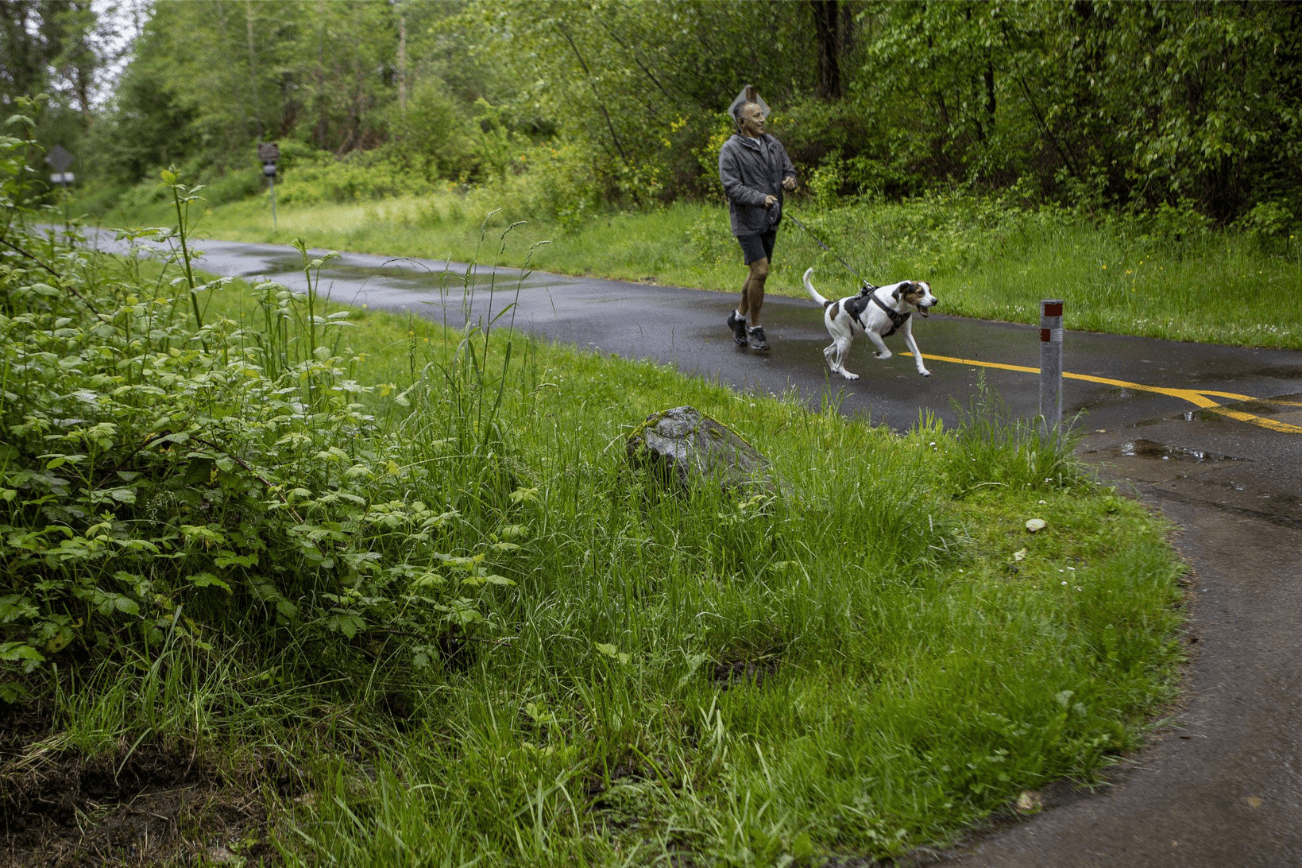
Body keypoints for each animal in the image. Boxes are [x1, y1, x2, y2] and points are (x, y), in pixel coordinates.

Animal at [802, 268, 937, 379]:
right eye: (920, 292)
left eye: (930, 291)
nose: (935, 300)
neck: (895, 305)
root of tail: (830, 305)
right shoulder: (872, 332)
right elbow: (887, 353)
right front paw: (878, 354)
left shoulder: (907, 334)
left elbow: (918, 353)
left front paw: (922, 369)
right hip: (845, 340)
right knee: (840, 363)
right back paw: (847, 374)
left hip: (843, 338)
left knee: (827, 351)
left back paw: (834, 368)